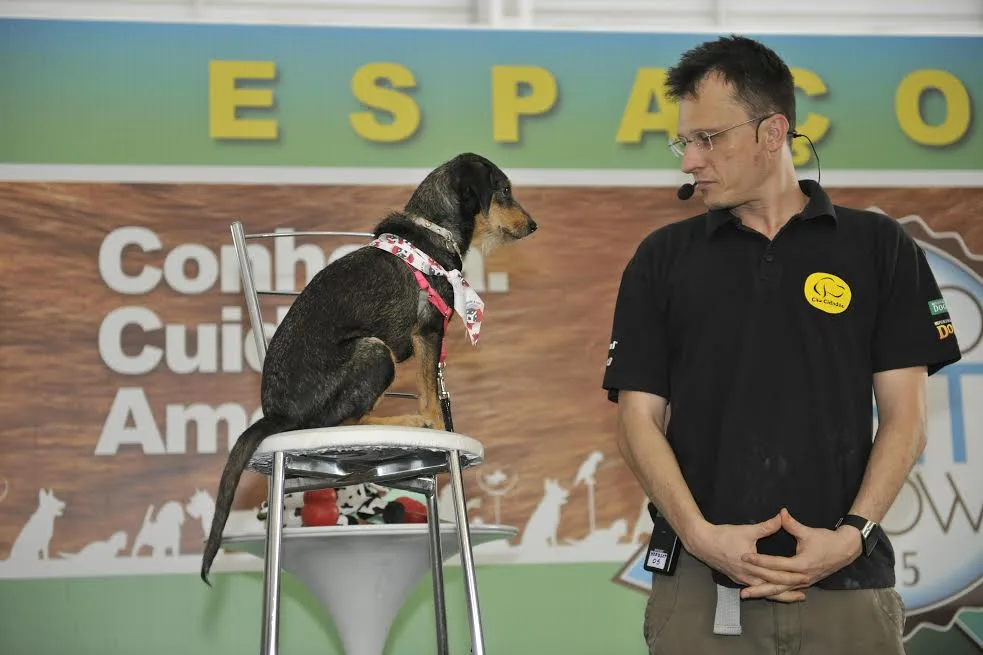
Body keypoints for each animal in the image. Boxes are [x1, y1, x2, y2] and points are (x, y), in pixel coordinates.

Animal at [200, 151, 540, 580]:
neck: (435, 229)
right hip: (375, 353)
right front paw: (438, 427)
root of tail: (276, 415)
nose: (533, 225)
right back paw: (406, 421)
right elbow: (431, 394)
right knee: (343, 421)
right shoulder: (429, 329)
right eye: (504, 191)